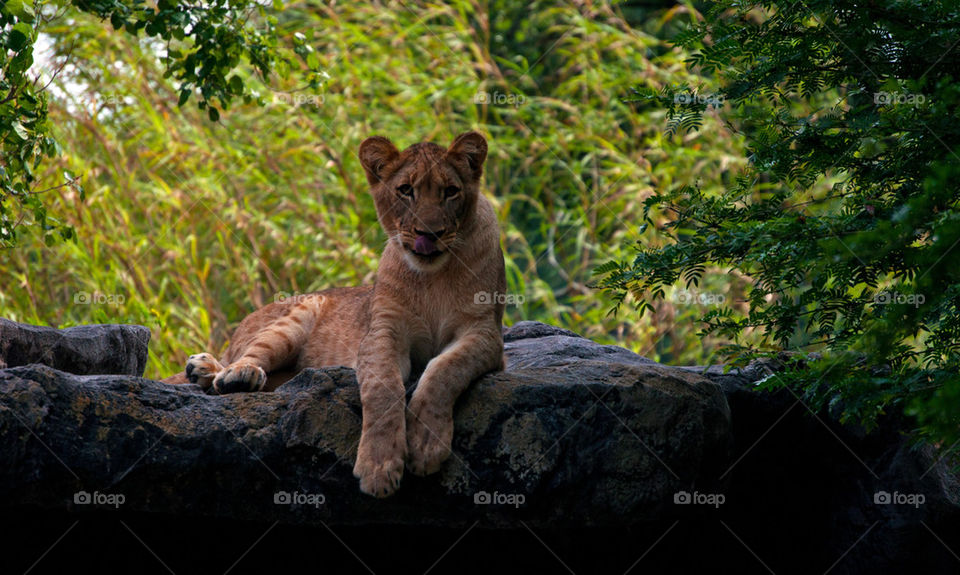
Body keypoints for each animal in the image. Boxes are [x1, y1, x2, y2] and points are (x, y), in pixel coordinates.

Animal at [163, 131, 506, 498]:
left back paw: (203, 370)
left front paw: (426, 446)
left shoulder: (485, 334)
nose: (429, 234)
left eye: (450, 191)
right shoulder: (381, 332)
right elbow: (383, 389)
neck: (433, 277)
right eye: (405, 190)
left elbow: (444, 371)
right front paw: (378, 468)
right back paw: (226, 372)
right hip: (298, 315)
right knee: (244, 359)